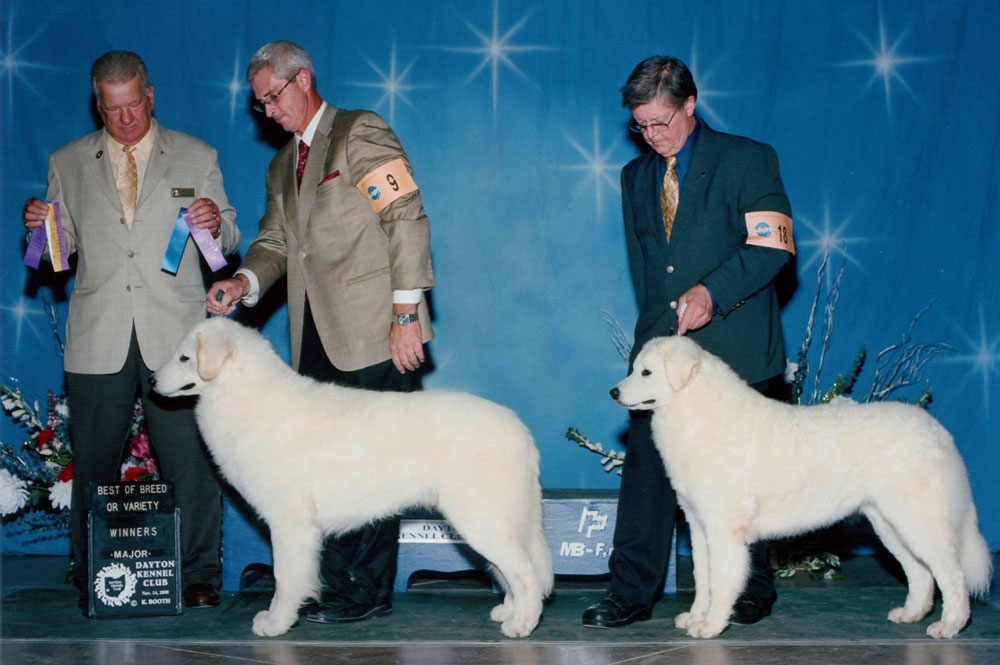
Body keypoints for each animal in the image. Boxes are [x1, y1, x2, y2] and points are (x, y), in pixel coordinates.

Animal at [154, 318, 556, 640]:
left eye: (184, 358)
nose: (152, 380)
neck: (242, 394)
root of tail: (519, 430)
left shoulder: (289, 524)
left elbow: (285, 577)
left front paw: (276, 623)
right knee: (513, 571)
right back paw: (509, 611)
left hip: (481, 519)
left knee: (524, 573)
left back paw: (522, 624)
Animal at [608, 338, 992, 640]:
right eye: (634, 369)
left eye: (646, 373)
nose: (614, 391)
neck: (695, 414)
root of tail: (938, 431)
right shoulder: (698, 525)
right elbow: (704, 579)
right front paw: (695, 617)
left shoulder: (723, 530)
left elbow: (722, 581)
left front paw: (711, 626)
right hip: (889, 524)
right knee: (921, 573)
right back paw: (910, 614)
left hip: (917, 520)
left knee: (952, 577)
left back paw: (949, 626)